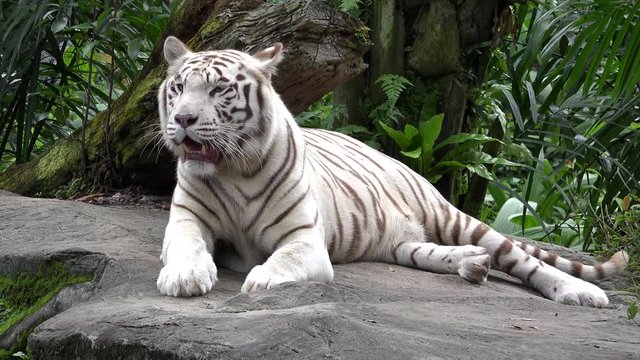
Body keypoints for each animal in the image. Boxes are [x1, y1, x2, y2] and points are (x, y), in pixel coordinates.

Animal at [158, 35, 628, 306]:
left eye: (219, 90)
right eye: (179, 87)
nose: (182, 119)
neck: (232, 169)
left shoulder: (304, 239)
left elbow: (284, 259)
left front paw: (263, 283)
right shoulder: (187, 218)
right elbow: (186, 245)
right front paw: (183, 276)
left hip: (454, 216)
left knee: (524, 260)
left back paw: (581, 292)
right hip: (401, 243)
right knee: (433, 252)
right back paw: (472, 265)